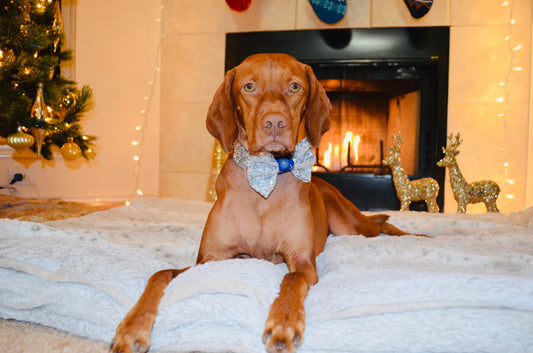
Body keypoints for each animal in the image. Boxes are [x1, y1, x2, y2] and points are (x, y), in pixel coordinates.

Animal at [109, 53, 416, 352]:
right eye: (249, 86)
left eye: (295, 87)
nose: (275, 123)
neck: (266, 183)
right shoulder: (209, 260)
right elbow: (159, 274)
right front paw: (132, 326)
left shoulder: (302, 261)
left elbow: (291, 279)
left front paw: (283, 322)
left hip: (351, 226)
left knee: (384, 226)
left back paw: (416, 236)